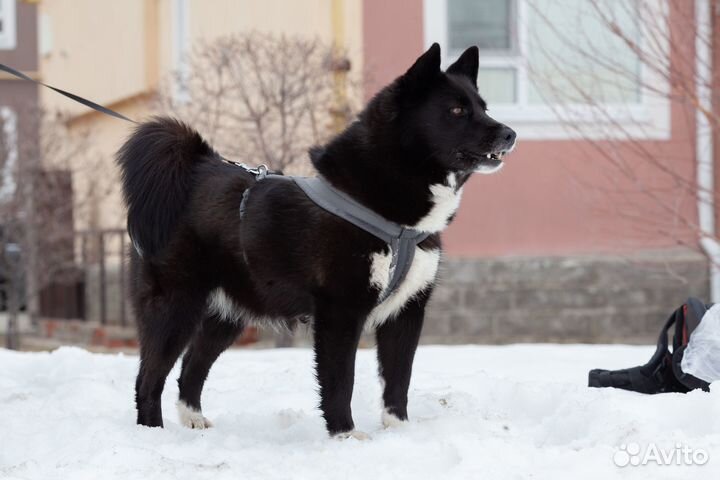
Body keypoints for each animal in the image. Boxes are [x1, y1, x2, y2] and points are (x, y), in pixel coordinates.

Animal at [118, 44, 516, 438]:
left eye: (483, 106)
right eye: (456, 110)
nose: (511, 134)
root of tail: (192, 171)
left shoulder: (406, 312)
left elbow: (398, 379)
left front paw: (399, 433)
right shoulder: (340, 311)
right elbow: (341, 380)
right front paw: (346, 435)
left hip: (227, 312)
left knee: (191, 365)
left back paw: (193, 419)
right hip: (175, 306)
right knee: (148, 378)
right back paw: (152, 433)